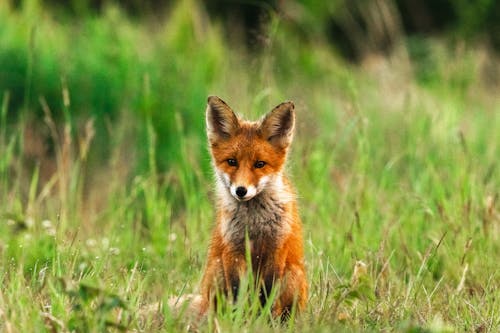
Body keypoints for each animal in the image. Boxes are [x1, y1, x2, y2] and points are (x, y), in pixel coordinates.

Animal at [181, 95, 308, 320]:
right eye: (232, 162)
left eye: (260, 164)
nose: (241, 190)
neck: (254, 222)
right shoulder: (234, 250)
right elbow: (237, 293)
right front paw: (237, 321)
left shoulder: (276, 249)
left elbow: (266, 293)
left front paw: (262, 321)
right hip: (216, 270)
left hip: (293, 274)